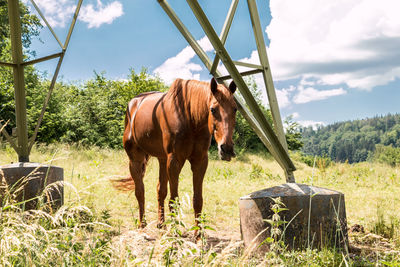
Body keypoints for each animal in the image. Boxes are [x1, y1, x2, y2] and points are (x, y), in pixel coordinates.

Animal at [119, 77, 238, 230]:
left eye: (235, 109)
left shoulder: (200, 161)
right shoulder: (174, 162)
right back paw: (142, 224)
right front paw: (175, 235)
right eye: (213, 109)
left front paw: (199, 234)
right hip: (135, 159)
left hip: (162, 160)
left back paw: (161, 223)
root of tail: (133, 104)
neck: (190, 118)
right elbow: (174, 201)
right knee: (140, 191)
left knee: (160, 190)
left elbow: (197, 200)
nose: (226, 148)